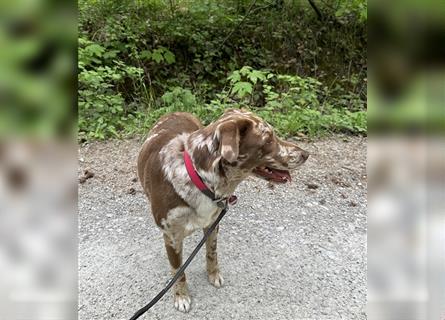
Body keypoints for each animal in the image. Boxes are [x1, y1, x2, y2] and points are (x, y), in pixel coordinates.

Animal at [137, 109, 306, 312]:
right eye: (268, 139)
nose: (306, 154)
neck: (199, 178)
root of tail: (177, 111)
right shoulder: (172, 237)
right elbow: (178, 271)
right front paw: (181, 296)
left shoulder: (212, 223)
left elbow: (212, 253)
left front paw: (213, 275)